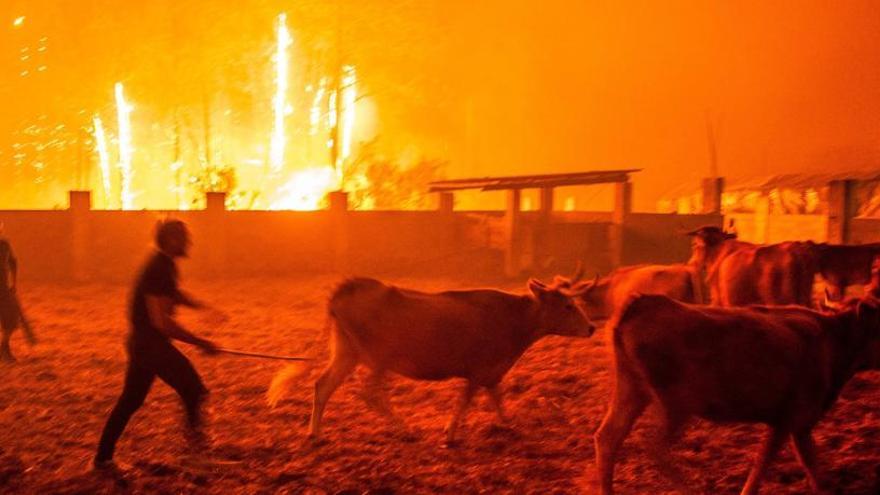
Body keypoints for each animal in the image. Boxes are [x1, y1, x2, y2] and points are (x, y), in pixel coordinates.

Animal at [272, 278, 596, 444]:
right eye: (568, 306)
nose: (592, 327)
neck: (515, 319)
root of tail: (346, 289)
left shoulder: (492, 372)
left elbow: (497, 398)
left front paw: (509, 424)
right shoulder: (479, 370)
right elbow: (465, 401)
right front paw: (450, 434)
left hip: (346, 351)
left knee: (323, 385)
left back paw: (314, 432)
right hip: (379, 357)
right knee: (369, 391)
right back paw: (404, 429)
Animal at [592, 294, 880, 495]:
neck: (833, 340)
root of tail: (643, 304)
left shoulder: (792, 422)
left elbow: (801, 463)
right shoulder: (793, 419)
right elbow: (779, 462)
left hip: (631, 390)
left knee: (608, 437)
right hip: (675, 404)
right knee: (654, 447)